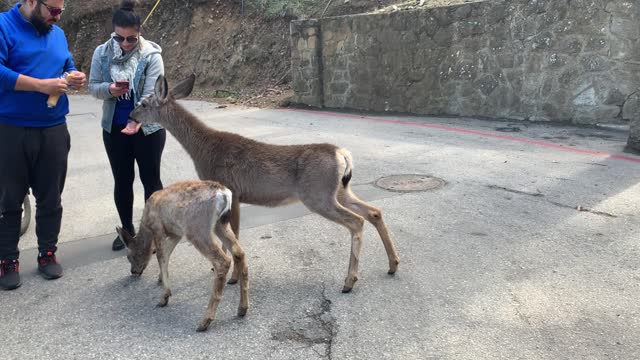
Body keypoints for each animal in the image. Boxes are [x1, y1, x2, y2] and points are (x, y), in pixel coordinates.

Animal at [129, 75, 400, 292]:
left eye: (143, 103)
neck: (202, 148)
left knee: (356, 221)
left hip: (318, 194)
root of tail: (342, 154)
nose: (131, 114)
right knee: (374, 212)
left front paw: (233, 278)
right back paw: (393, 264)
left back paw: (349, 281)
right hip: (340, 189)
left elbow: (235, 235)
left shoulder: (232, 189)